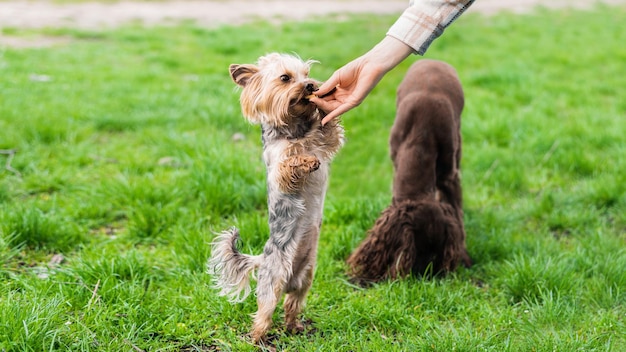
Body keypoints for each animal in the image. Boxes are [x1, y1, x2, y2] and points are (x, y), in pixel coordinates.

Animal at [208, 53, 346, 344]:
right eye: (285, 78)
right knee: (265, 310)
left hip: (306, 277)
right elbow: (290, 162)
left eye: (306, 74)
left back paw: (295, 328)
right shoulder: (278, 167)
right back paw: (257, 338)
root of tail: (262, 257)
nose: (311, 86)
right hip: (274, 279)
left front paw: (324, 108)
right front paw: (306, 161)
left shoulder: (325, 142)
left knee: (292, 304)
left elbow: (329, 133)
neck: (294, 128)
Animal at [346, 59, 468, 286]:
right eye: (417, 252)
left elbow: (457, 211)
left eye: (436, 253)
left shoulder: (450, 176)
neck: (422, 136)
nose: (427, 277)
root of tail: (432, 60)